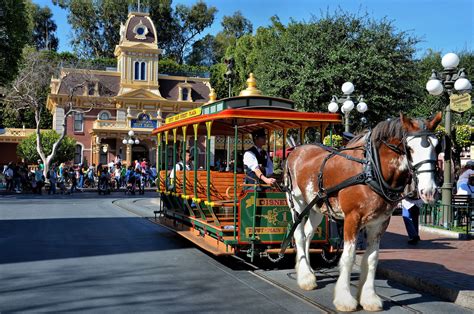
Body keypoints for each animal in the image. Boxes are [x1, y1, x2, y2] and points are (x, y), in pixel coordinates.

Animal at [284, 113, 442, 312]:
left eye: (437, 146)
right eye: (410, 148)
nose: (429, 191)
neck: (371, 170)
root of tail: (297, 150)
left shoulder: (380, 222)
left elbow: (372, 258)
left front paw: (369, 298)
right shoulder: (352, 218)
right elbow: (348, 257)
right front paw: (345, 299)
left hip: (316, 206)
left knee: (308, 234)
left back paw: (307, 272)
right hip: (297, 203)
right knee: (298, 235)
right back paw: (305, 277)